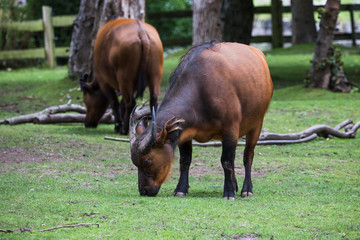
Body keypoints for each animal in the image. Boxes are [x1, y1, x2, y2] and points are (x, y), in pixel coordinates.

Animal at [129, 40, 272, 199]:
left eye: (147, 161)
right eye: (135, 162)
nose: (144, 191)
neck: (200, 90)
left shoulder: (230, 129)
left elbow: (226, 161)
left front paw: (228, 192)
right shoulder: (185, 133)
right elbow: (185, 160)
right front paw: (181, 189)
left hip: (256, 125)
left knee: (248, 156)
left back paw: (246, 189)